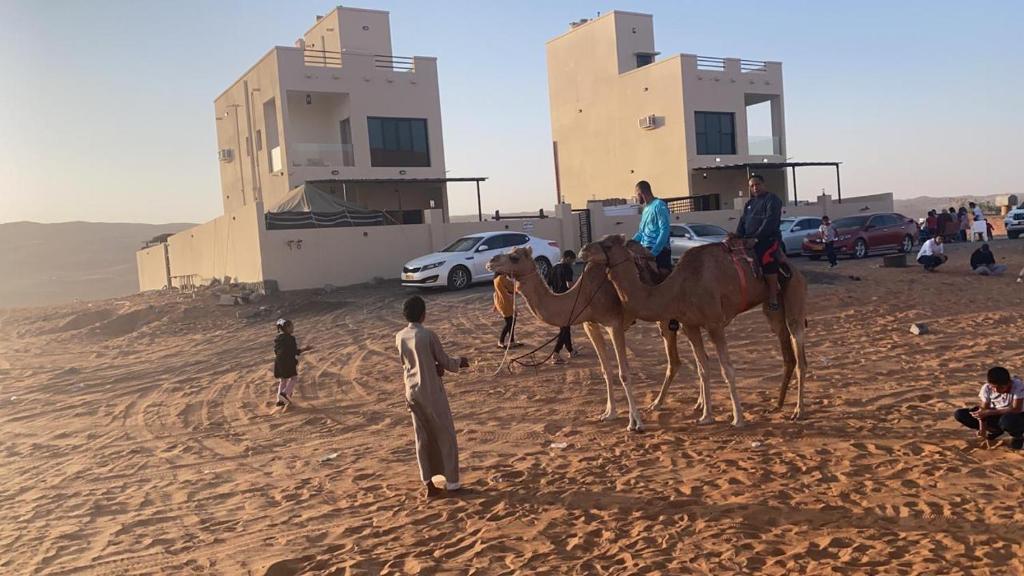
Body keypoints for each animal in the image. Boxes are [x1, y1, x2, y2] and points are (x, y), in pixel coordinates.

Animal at [483, 245, 684, 430]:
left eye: (514, 257)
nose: (491, 261)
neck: (584, 294)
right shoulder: (590, 324)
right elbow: (605, 370)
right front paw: (609, 414)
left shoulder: (614, 323)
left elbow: (624, 373)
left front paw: (635, 423)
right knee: (675, 361)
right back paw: (657, 403)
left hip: (668, 317)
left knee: (675, 359)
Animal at [585, 233, 806, 426]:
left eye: (608, 245)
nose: (583, 250)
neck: (677, 288)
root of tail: (792, 265)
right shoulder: (690, 325)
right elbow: (703, 368)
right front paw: (706, 417)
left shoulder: (714, 323)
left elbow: (727, 369)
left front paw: (738, 419)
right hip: (773, 309)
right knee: (786, 350)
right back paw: (778, 405)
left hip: (793, 291)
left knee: (799, 349)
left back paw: (798, 411)